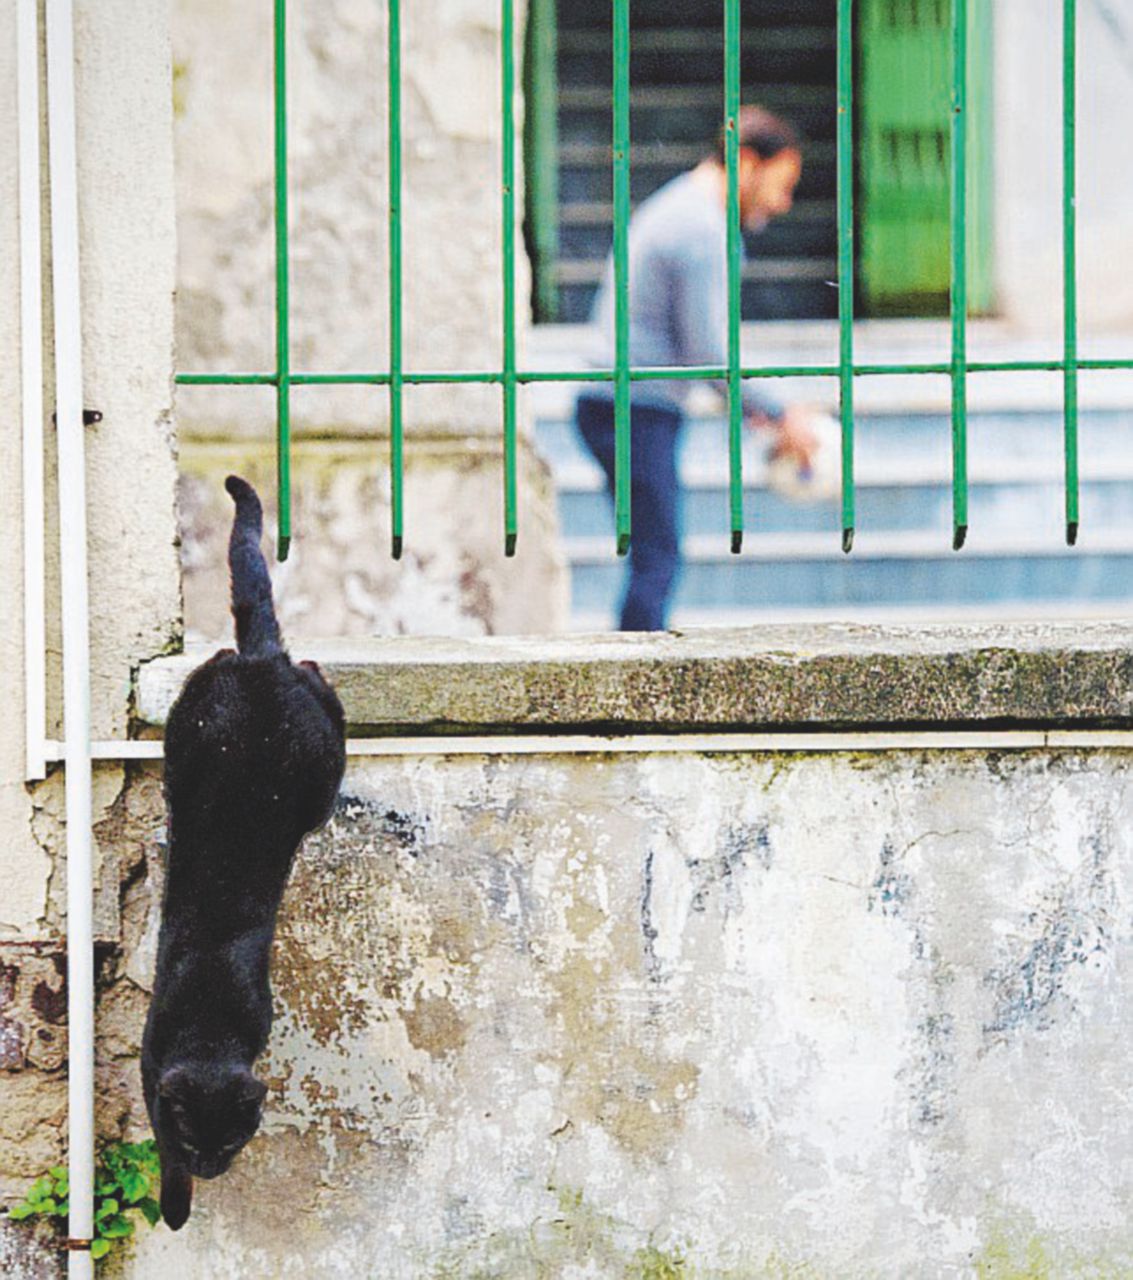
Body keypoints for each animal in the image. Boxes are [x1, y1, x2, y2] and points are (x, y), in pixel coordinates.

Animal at [143, 478, 345, 1228]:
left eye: (229, 1142)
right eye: (195, 1141)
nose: (210, 1167)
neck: (206, 1028)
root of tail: (258, 662)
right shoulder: (151, 1065)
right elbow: (156, 1136)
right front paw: (176, 1206)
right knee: (309, 675)